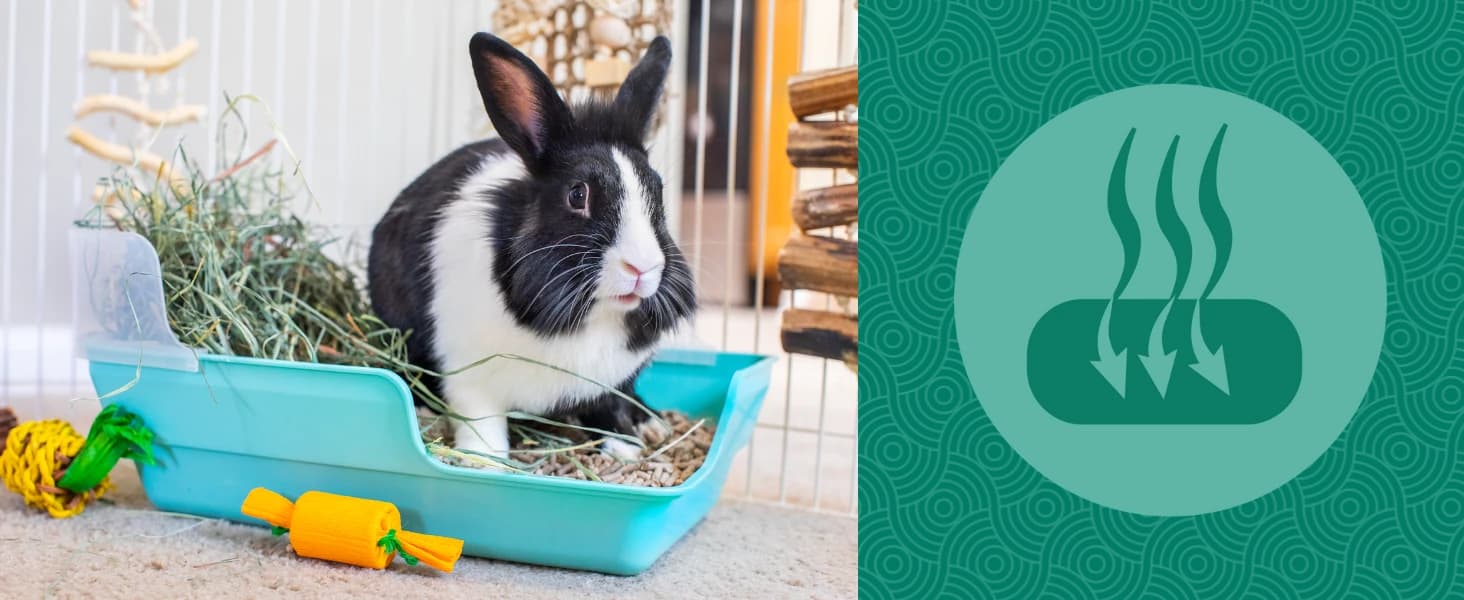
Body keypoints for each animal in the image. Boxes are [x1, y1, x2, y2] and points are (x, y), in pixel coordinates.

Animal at [367, 32, 696, 461]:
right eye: (577, 194)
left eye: (657, 192)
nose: (642, 268)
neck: (593, 316)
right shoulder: (469, 377)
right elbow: (482, 423)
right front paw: (485, 462)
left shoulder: (610, 382)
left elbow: (610, 410)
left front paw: (626, 449)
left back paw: (652, 423)